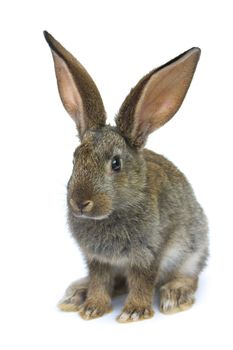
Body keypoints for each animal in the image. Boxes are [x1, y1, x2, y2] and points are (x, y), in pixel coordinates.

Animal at [44, 31, 209, 322]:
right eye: (75, 158)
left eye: (116, 164)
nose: (80, 202)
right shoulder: (97, 259)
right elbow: (100, 281)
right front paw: (93, 307)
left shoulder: (149, 254)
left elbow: (142, 281)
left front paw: (134, 312)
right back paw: (77, 295)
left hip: (192, 248)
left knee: (190, 275)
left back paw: (175, 296)